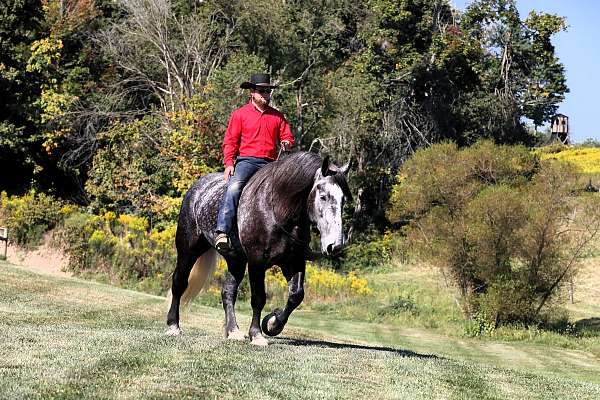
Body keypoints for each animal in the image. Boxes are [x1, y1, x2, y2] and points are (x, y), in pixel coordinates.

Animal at [164, 152, 352, 346]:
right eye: (323, 196)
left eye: (344, 200)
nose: (335, 245)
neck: (276, 210)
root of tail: (197, 188)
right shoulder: (256, 262)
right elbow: (258, 298)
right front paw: (256, 334)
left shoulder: (294, 261)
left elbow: (296, 295)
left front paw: (272, 323)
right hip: (188, 250)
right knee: (179, 283)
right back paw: (173, 326)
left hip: (236, 260)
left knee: (228, 292)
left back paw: (233, 331)